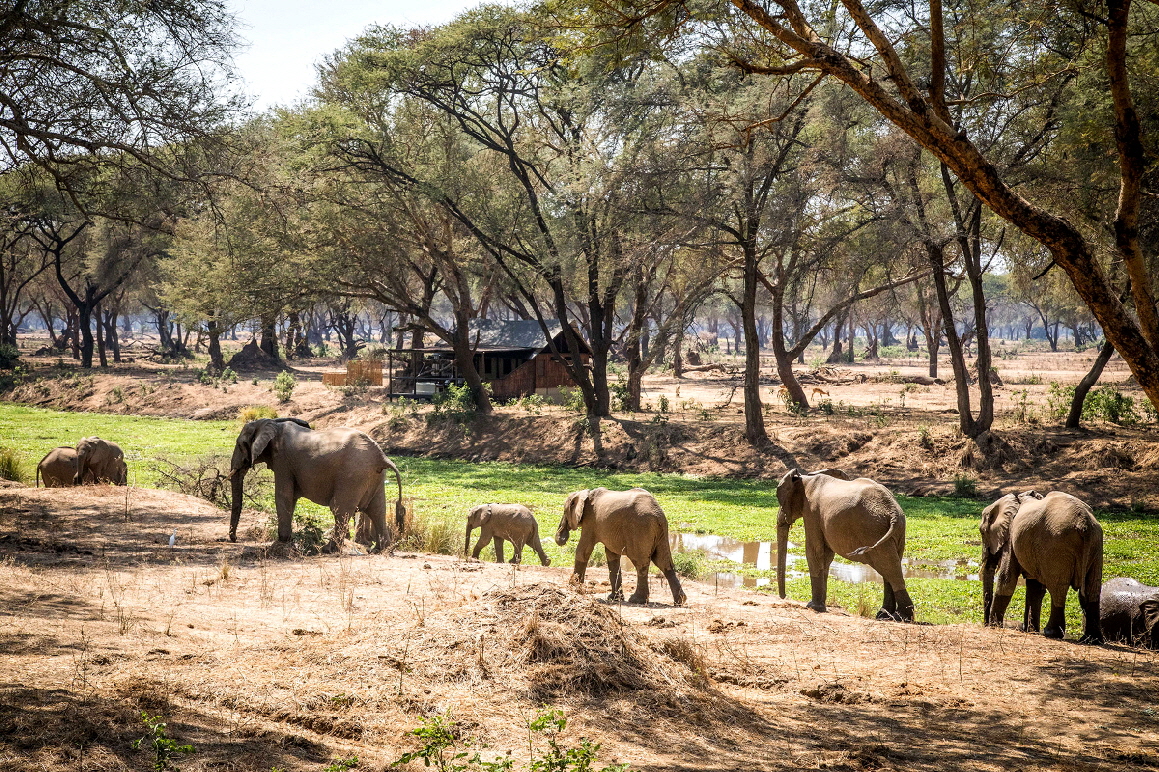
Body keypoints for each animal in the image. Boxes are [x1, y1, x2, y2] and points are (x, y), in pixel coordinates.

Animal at [228, 417, 405, 549]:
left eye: (240, 445)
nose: (234, 539)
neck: (271, 423)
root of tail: (381, 457)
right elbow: (291, 498)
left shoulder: (282, 461)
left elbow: (283, 495)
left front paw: (282, 541)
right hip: (374, 476)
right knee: (377, 509)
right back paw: (381, 549)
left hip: (353, 475)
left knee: (340, 508)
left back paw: (328, 549)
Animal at [774, 463, 908, 621]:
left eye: (779, 498)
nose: (783, 597)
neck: (805, 479)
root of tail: (892, 511)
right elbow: (826, 556)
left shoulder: (811, 512)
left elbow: (815, 551)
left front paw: (813, 607)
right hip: (896, 531)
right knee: (891, 565)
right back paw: (884, 616)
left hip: (873, 530)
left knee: (888, 567)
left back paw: (901, 617)